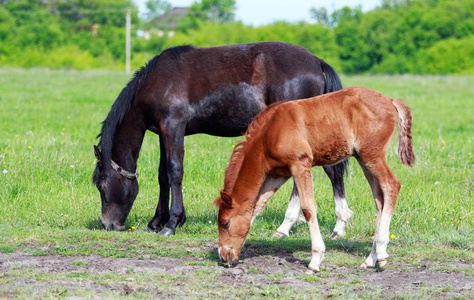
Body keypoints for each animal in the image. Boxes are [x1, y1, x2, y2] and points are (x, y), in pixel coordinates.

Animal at [91, 41, 348, 237]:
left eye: (101, 185)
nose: (109, 224)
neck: (158, 82)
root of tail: (316, 61)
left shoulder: (173, 127)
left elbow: (175, 172)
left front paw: (172, 223)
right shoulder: (164, 133)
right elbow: (163, 175)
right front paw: (156, 222)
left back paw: (312, 226)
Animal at [215, 86, 414, 272]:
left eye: (225, 223)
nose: (223, 256)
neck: (270, 131)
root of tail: (390, 100)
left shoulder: (300, 164)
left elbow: (308, 207)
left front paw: (316, 259)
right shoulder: (279, 173)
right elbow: (257, 206)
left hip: (372, 156)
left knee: (392, 185)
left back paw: (381, 252)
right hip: (363, 159)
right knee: (379, 199)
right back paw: (371, 259)